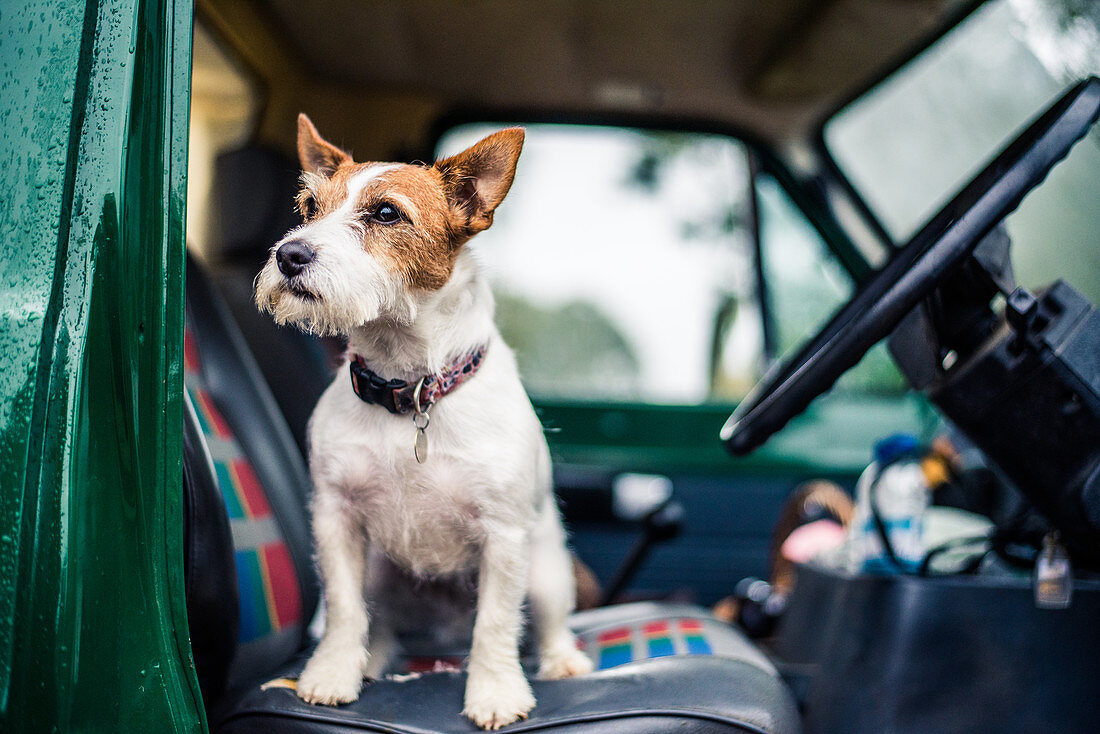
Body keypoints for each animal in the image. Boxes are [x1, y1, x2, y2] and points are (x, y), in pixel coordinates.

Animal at [253, 116, 594, 730]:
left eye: (386, 213)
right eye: (309, 206)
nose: (289, 254)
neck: (408, 389)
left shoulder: (504, 537)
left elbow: (496, 623)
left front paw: (494, 691)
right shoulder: (336, 519)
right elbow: (344, 610)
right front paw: (331, 674)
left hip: (548, 570)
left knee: (547, 621)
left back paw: (562, 660)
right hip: (378, 571)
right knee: (379, 621)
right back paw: (372, 660)